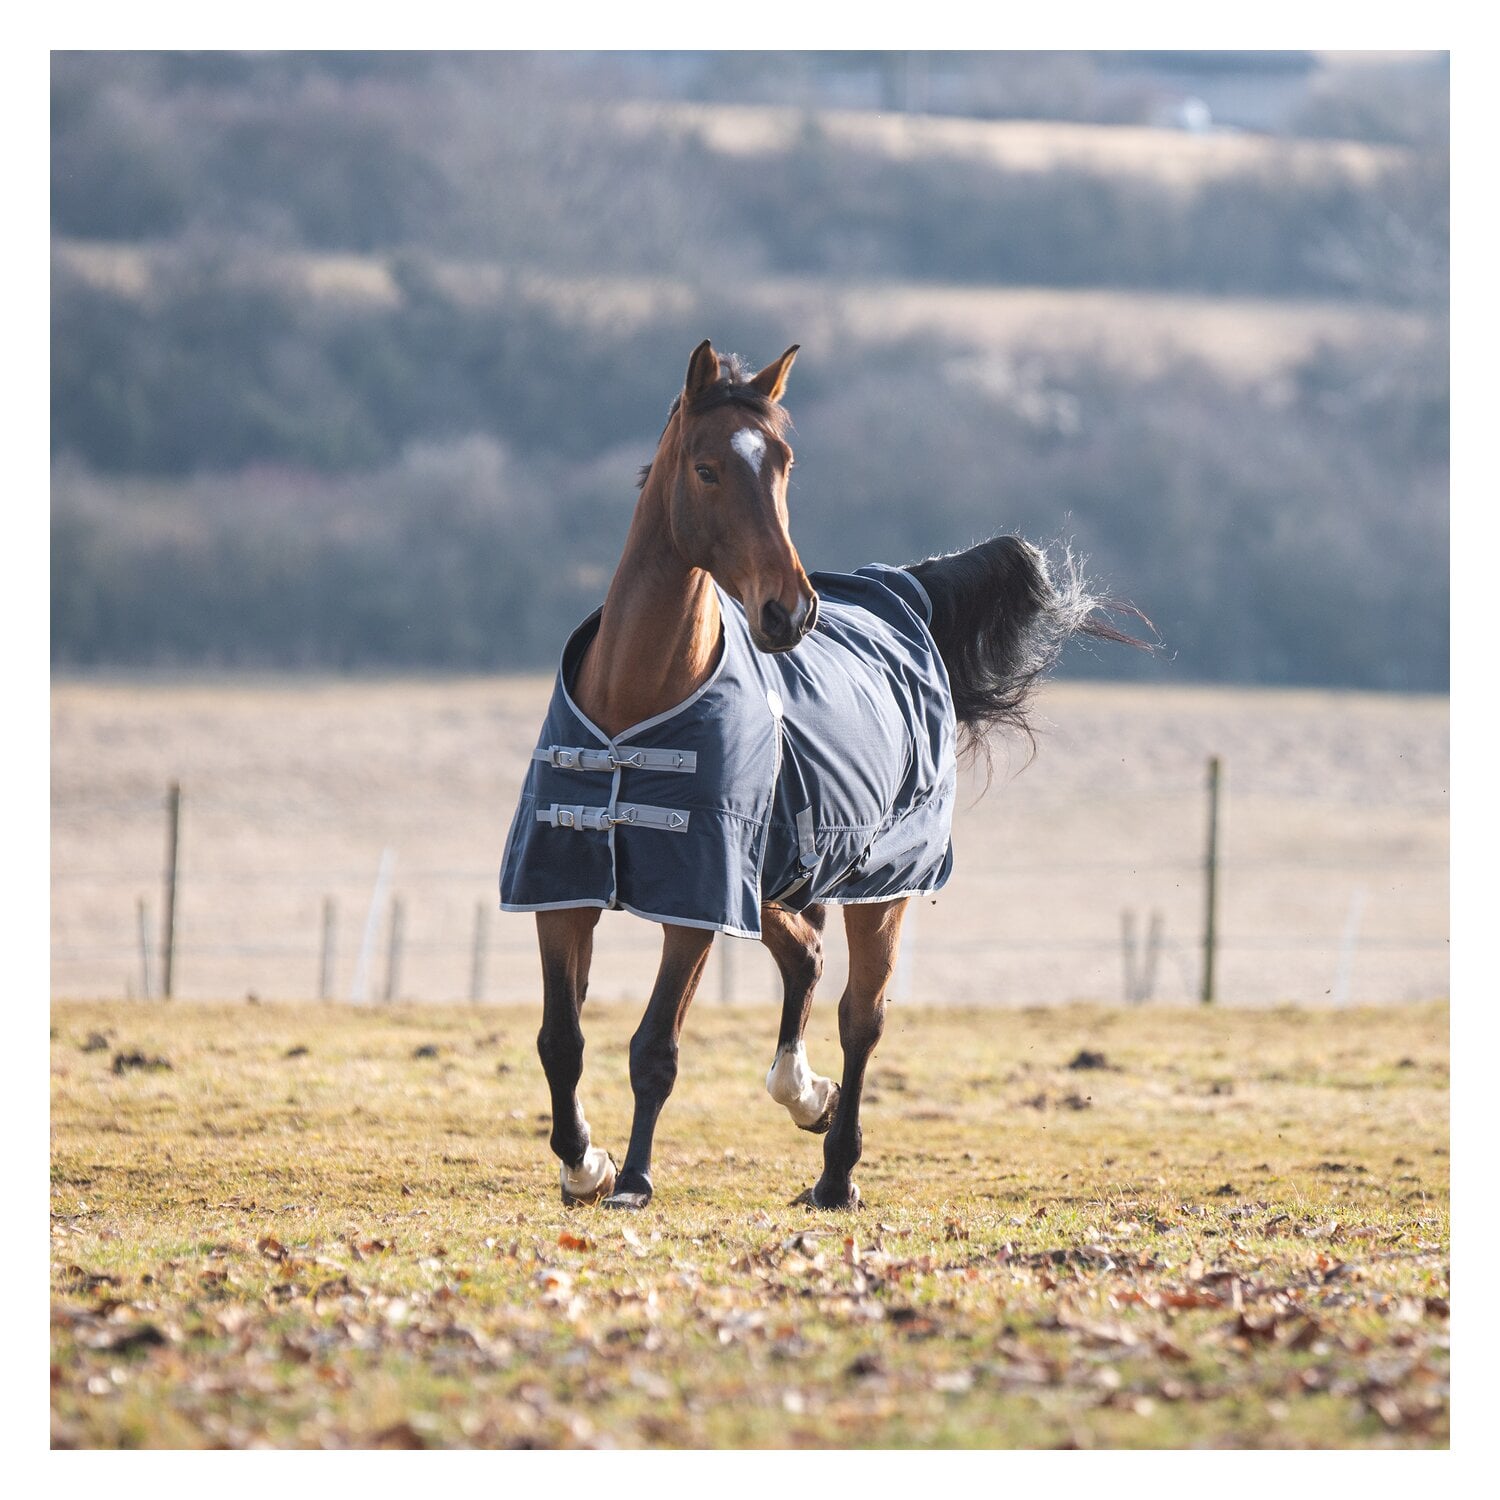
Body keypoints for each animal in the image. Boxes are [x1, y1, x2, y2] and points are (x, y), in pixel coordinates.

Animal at [499, 339, 1135, 1211]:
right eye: (706, 468)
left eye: (784, 465)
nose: (790, 611)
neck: (635, 704)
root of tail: (903, 592)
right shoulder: (565, 889)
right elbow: (560, 1039)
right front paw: (581, 1163)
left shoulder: (699, 903)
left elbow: (655, 1046)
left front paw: (632, 1178)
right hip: (775, 884)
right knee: (805, 958)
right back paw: (805, 1094)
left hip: (880, 888)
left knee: (860, 1016)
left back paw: (837, 1172)